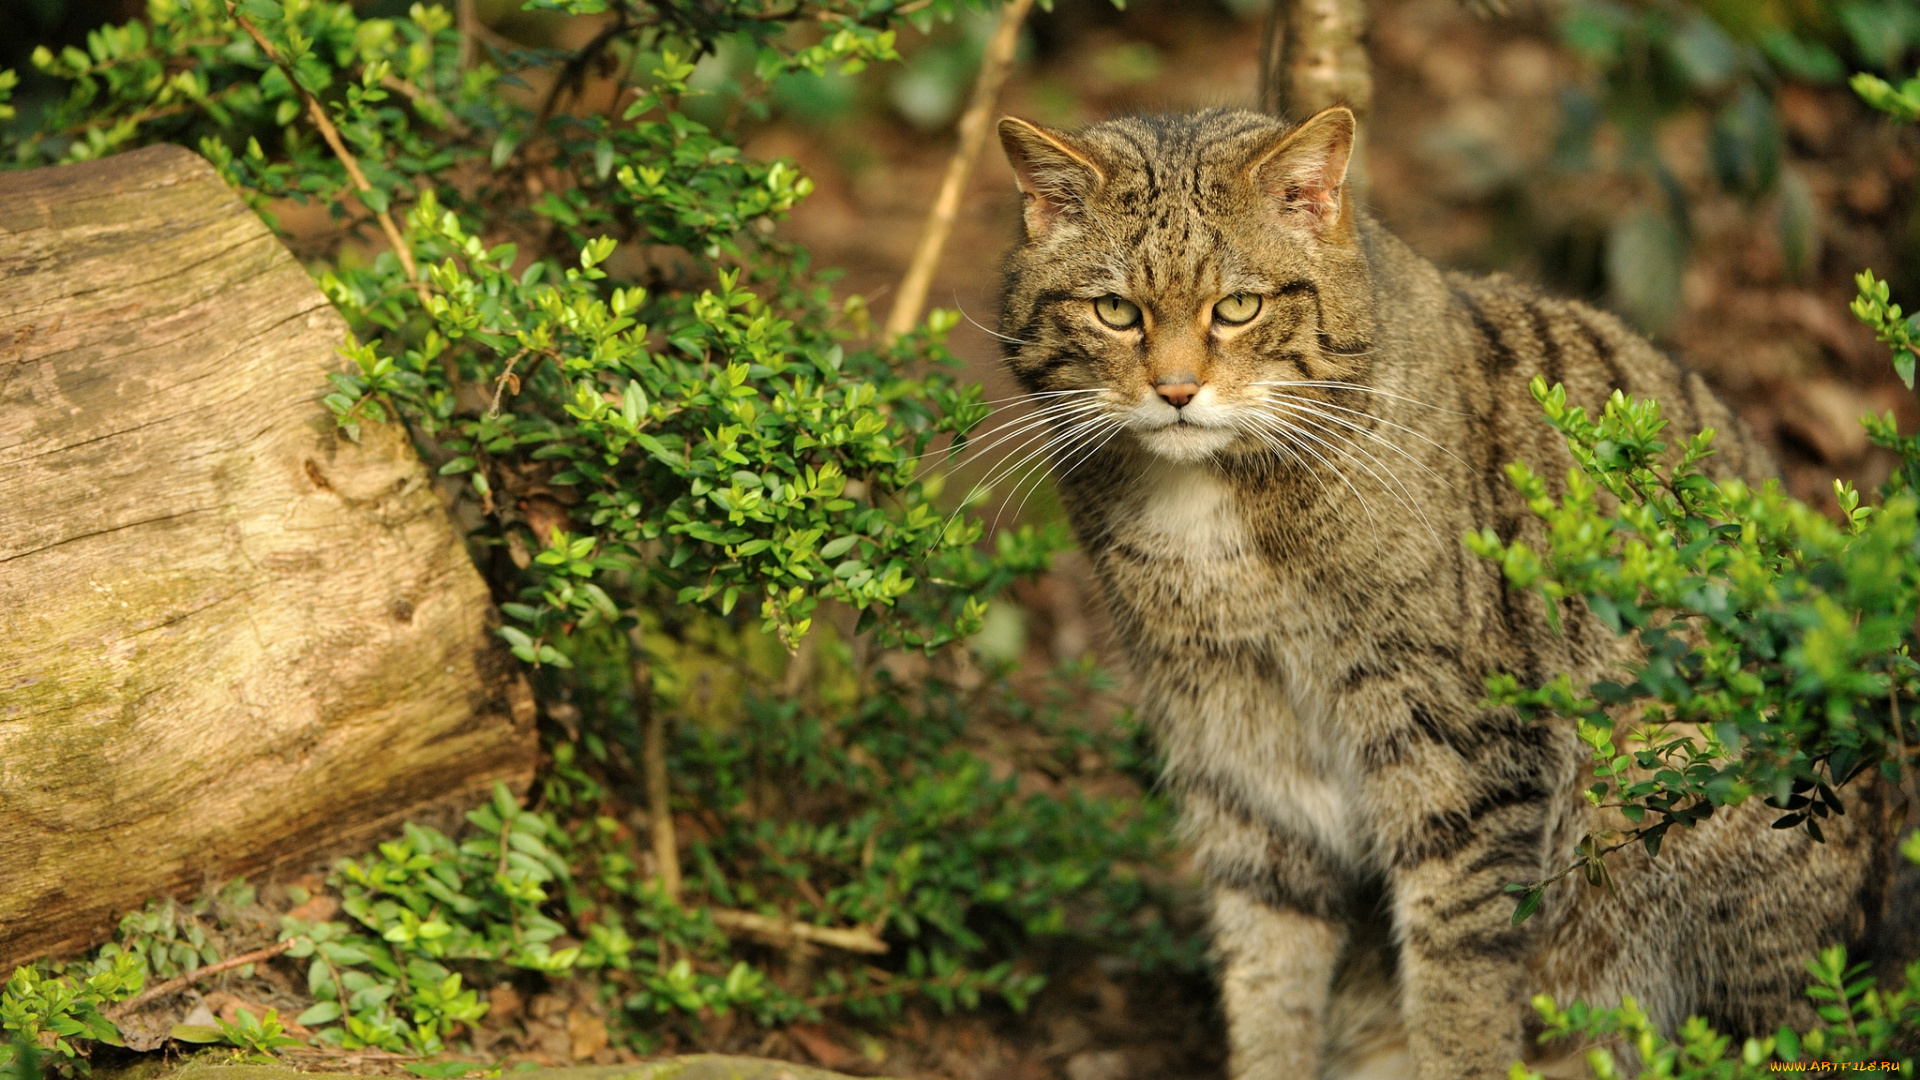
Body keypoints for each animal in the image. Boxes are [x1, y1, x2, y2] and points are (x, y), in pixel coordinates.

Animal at [998, 102, 1896, 1076]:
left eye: (1237, 307)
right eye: (1115, 311)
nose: (1174, 391)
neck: (1212, 511)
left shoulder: (1466, 757)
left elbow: (1460, 978)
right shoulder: (1239, 756)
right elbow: (1268, 974)